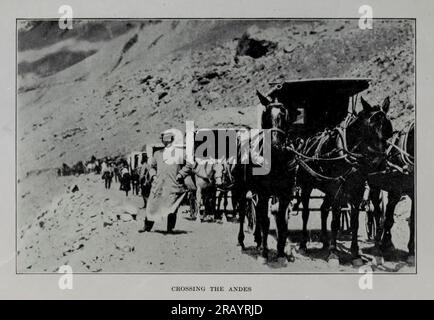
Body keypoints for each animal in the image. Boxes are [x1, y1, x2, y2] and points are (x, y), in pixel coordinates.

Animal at [298, 97, 394, 264]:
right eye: (369, 129)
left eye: (388, 129)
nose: (379, 163)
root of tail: (306, 143)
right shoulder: (338, 187)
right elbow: (335, 221)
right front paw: (333, 253)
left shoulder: (357, 190)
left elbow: (354, 222)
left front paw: (355, 253)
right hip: (307, 186)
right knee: (305, 213)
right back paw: (304, 245)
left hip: (328, 190)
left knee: (323, 210)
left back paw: (324, 241)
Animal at [368, 121, 416, 264]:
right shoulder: (395, 190)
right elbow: (388, 219)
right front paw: (385, 245)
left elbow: (412, 221)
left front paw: (411, 252)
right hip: (374, 185)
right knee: (378, 213)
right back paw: (378, 243)